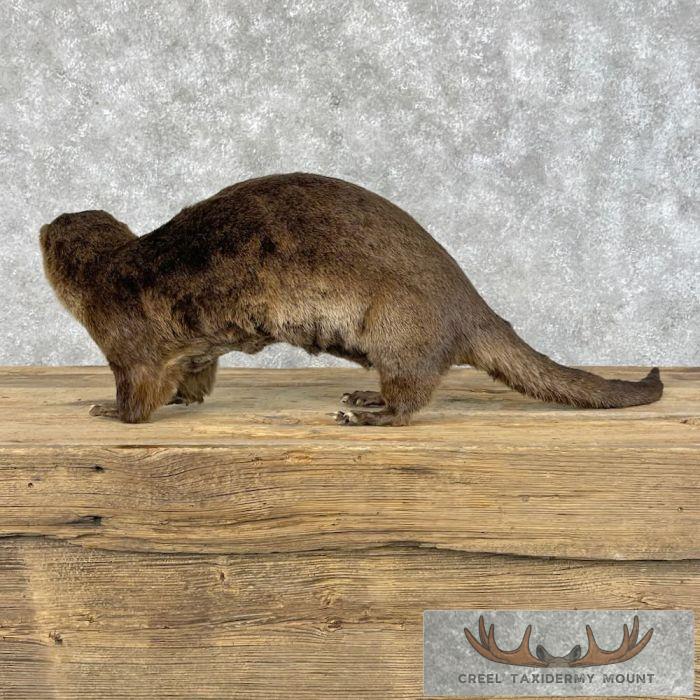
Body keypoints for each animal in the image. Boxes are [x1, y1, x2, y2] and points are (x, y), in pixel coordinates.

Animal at [40, 172, 662, 426]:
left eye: (50, 235)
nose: (44, 221)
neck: (111, 274)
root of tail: (470, 305)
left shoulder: (129, 342)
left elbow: (138, 395)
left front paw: (106, 410)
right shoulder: (195, 352)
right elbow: (192, 381)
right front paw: (182, 400)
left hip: (399, 323)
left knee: (413, 394)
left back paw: (368, 413)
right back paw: (364, 396)